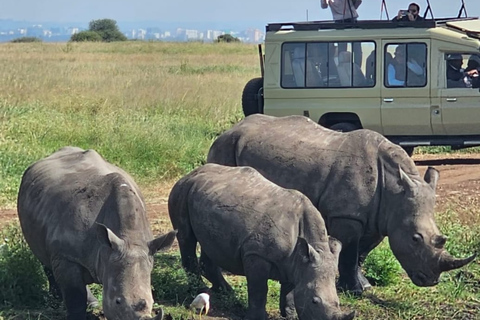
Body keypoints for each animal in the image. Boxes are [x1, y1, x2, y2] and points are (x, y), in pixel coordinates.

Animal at [17, 148, 178, 320]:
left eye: (152, 301)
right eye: (117, 301)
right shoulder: (65, 255)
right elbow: (75, 295)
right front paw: (77, 317)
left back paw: (92, 304)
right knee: (45, 257)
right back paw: (56, 300)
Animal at [170, 164, 356, 320]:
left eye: (338, 302)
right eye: (314, 301)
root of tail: (191, 173)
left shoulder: (296, 262)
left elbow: (290, 289)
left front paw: (290, 315)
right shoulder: (256, 254)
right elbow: (259, 289)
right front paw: (257, 317)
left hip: (205, 196)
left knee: (210, 242)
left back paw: (225, 291)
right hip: (182, 191)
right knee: (186, 237)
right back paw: (198, 289)